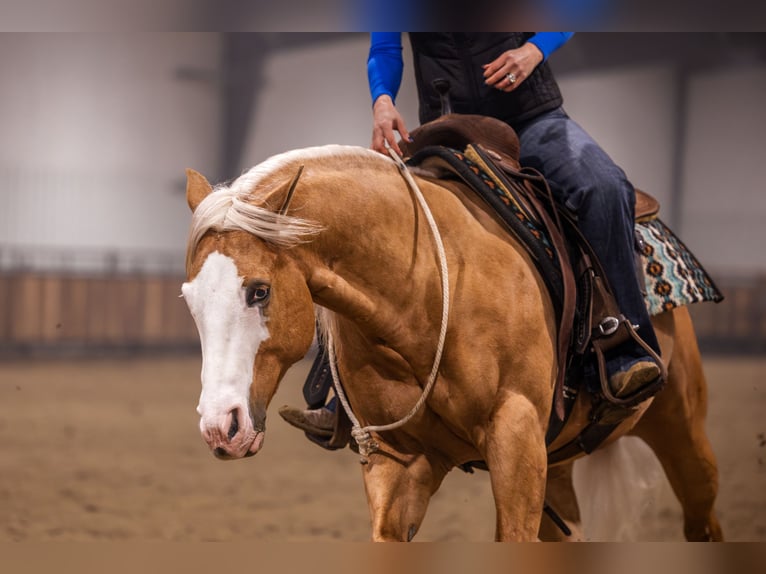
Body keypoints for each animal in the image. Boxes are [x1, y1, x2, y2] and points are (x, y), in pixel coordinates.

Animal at [181, 143, 723, 541]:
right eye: (190, 298)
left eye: (260, 290)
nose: (219, 427)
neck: (427, 290)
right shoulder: (395, 464)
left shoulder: (516, 442)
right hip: (558, 468)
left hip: (679, 427)